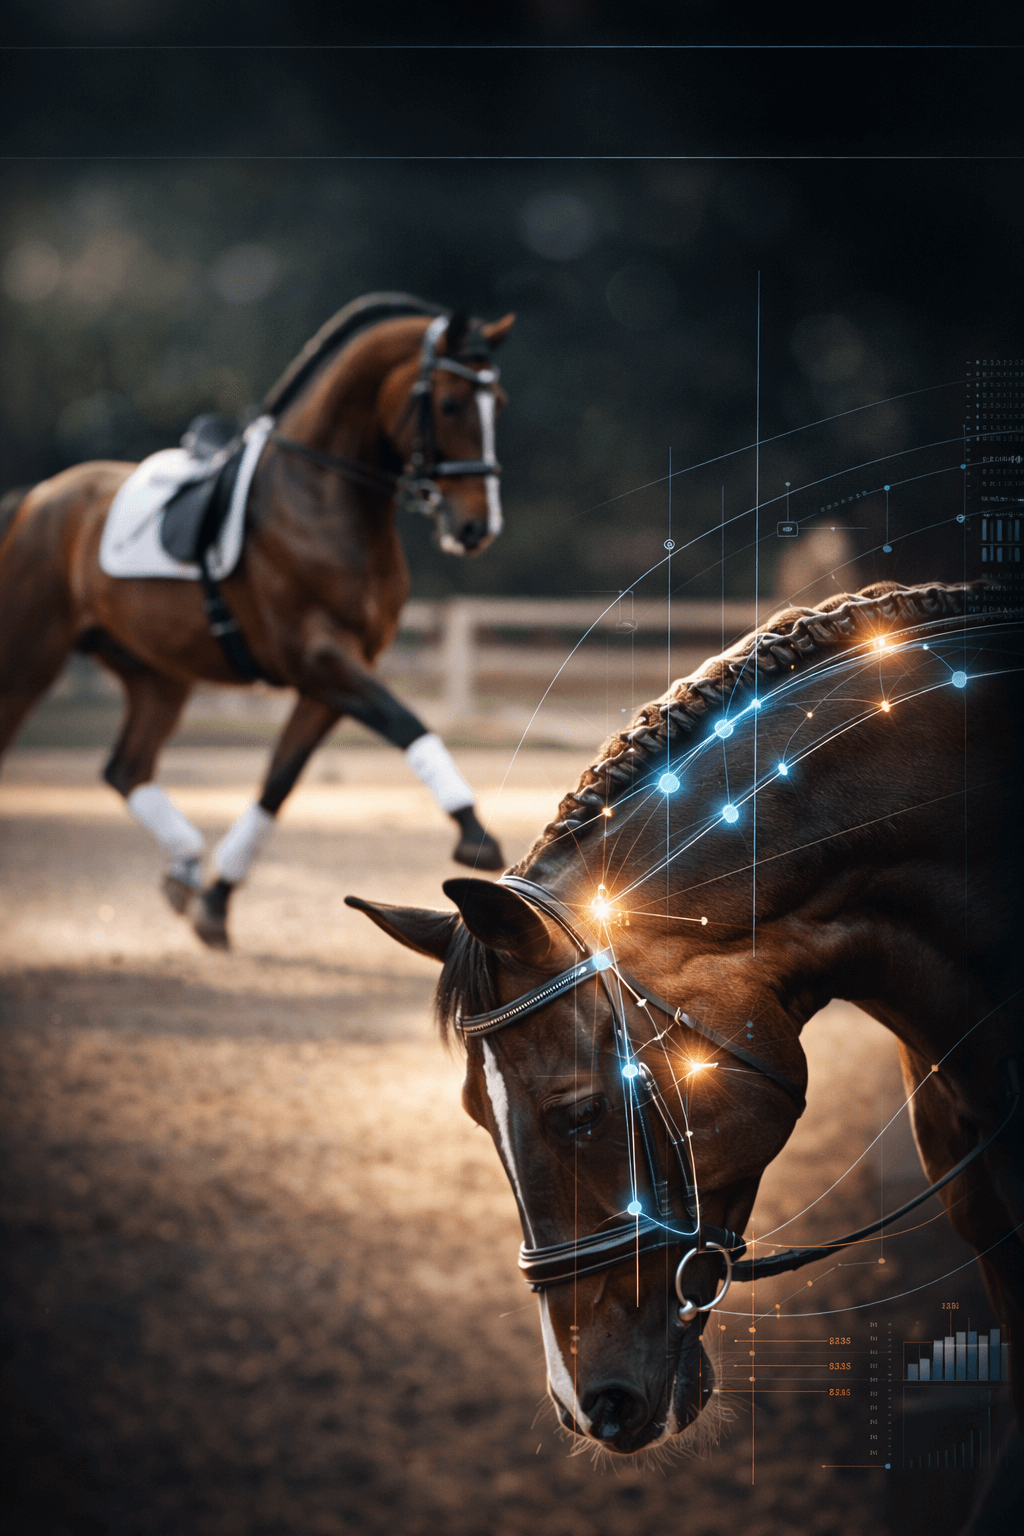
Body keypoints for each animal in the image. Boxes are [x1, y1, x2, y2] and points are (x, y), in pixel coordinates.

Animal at [0, 293, 515, 948]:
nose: (477, 527)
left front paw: (216, 903)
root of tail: (39, 498)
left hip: (157, 676)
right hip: (27, 659)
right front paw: (475, 835)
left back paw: (185, 868)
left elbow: (278, 783)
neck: (322, 496)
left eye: (498, 404)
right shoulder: (318, 657)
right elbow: (408, 723)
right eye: (450, 403)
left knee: (125, 769)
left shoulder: (331, 679)